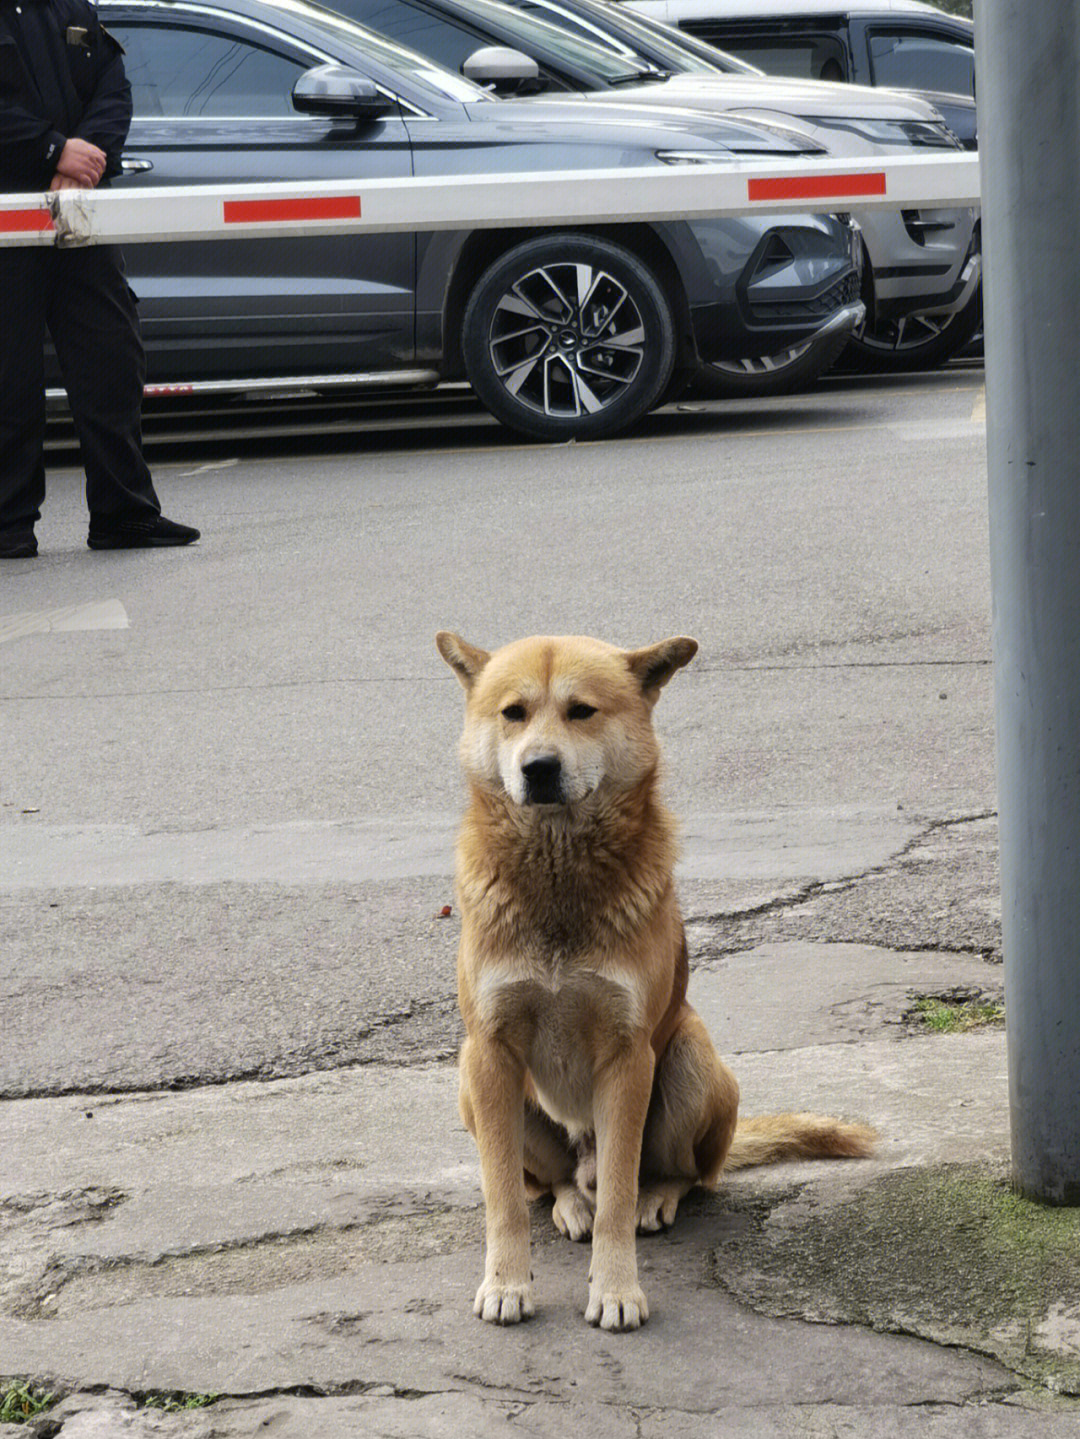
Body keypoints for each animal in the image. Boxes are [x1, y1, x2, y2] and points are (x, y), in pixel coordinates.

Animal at [434, 636, 874, 1329]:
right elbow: (503, 1197)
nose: (538, 768)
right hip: (469, 1085)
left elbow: (619, 1192)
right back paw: (569, 1202)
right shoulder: (489, 1051)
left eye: (581, 711)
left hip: (691, 1060)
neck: (559, 878)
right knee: (554, 1182)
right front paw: (507, 1282)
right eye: (513, 713)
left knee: (682, 1174)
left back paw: (656, 1199)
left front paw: (616, 1289)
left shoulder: (628, 1055)